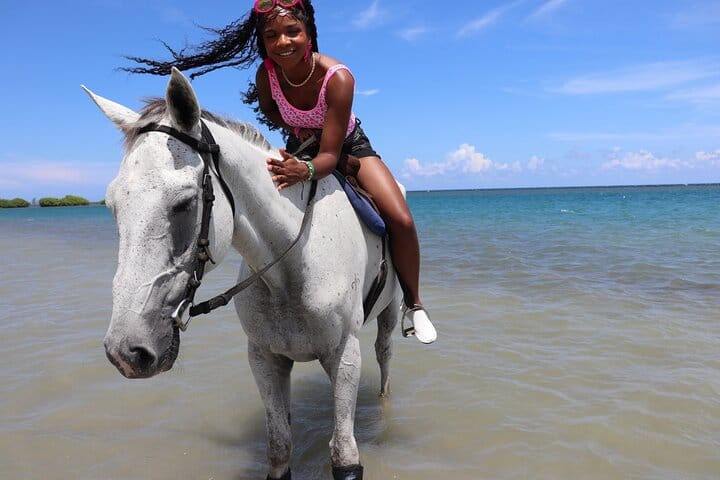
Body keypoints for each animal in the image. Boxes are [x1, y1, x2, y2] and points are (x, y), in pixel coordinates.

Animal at [83, 67, 402, 480]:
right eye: (111, 204)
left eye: (184, 203)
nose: (125, 351)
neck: (291, 266)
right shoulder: (264, 359)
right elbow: (280, 448)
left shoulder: (345, 354)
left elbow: (344, 455)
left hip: (390, 313)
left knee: (385, 354)